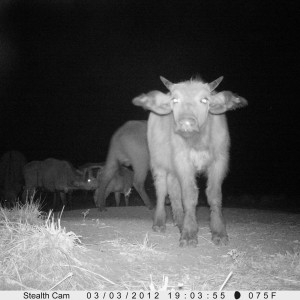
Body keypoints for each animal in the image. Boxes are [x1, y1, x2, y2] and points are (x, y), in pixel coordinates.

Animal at [132, 75, 247, 246]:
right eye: (175, 100)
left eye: (205, 100)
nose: (186, 123)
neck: (198, 142)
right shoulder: (182, 161)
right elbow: (189, 195)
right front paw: (189, 233)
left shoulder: (219, 161)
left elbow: (214, 195)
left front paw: (219, 232)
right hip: (158, 163)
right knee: (162, 191)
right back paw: (159, 222)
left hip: (172, 169)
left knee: (173, 191)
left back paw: (180, 221)